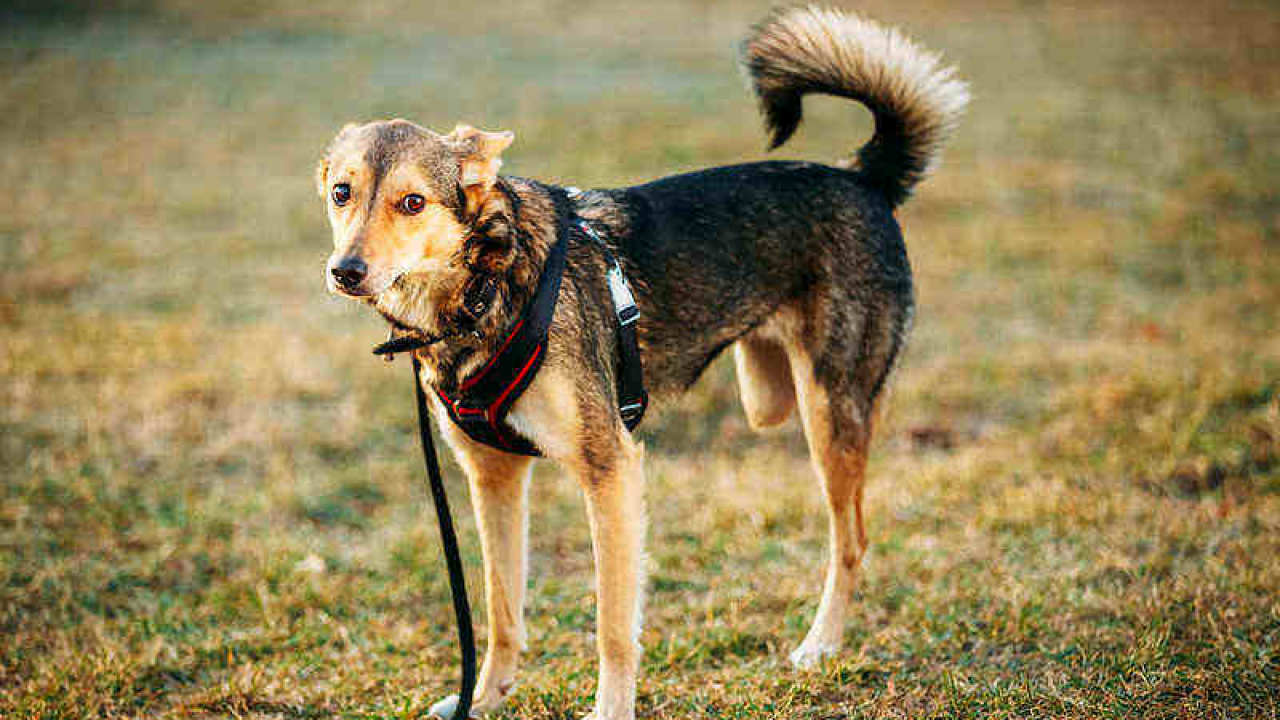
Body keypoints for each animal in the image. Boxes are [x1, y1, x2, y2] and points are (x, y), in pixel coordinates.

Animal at [314, 7, 962, 717]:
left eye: (412, 203)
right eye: (342, 193)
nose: (345, 271)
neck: (485, 284)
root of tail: (861, 176)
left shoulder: (611, 470)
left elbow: (613, 625)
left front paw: (610, 709)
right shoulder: (493, 476)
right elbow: (501, 607)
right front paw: (483, 699)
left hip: (829, 410)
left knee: (852, 540)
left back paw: (819, 645)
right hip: (769, 395)